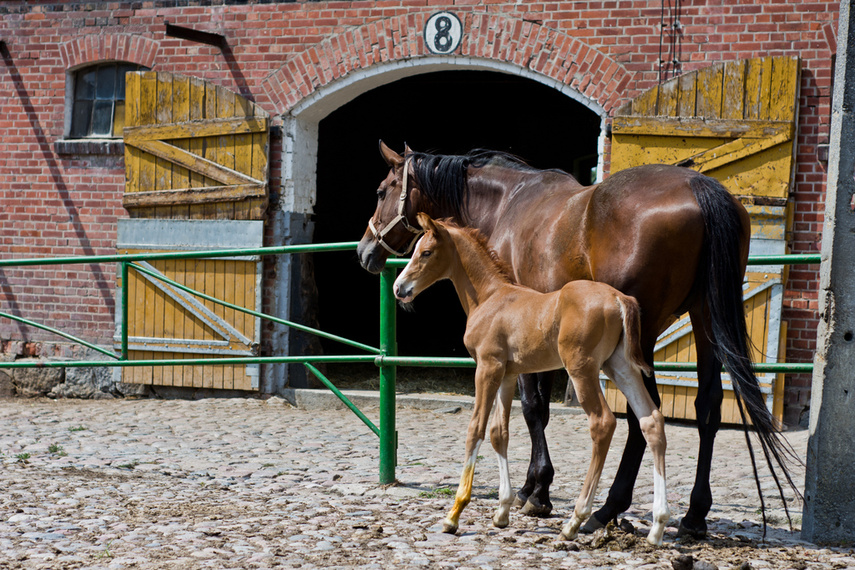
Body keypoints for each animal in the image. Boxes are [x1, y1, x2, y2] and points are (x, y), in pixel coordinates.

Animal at [394, 215, 676, 544]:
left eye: (426, 252)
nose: (399, 288)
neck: (489, 297)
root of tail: (620, 298)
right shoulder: (506, 375)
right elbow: (499, 434)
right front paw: (502, 512)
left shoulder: (486, 368)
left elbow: (475, 429)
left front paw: (454, 514)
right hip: (620, 366)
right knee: (651, 421)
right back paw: (657, 526)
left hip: (582, 369)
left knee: (602, 423)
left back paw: (576, 520)